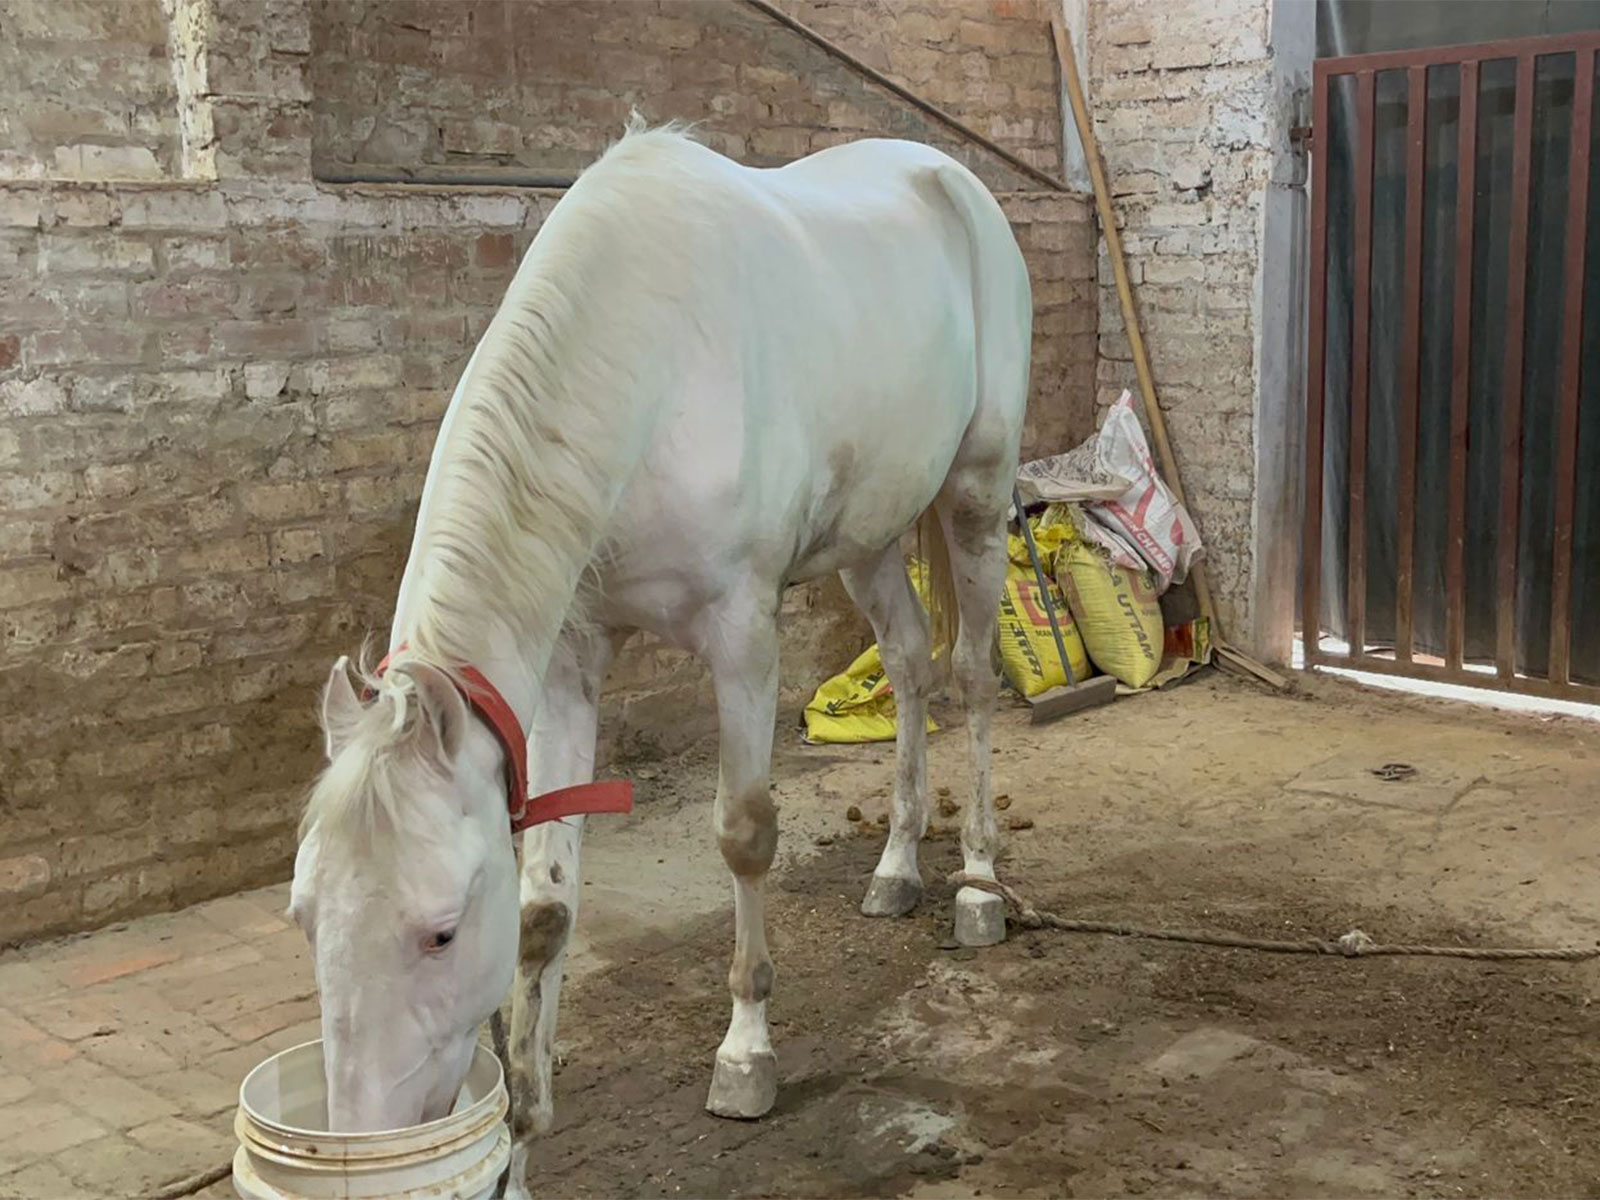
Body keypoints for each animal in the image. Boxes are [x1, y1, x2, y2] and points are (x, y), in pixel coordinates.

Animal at [289, 119, 1031, 1194]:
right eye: (306, 918)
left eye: (439, 932)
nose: (364, 1144)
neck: (648, 370)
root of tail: (951, 178)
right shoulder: (570, 662)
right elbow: (545, 908)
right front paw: (522, 1137)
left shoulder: (743, 633)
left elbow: (745, 835)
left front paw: (746, 1054)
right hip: (870, 536)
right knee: (906, 663)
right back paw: (896, 868)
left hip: (975, 493)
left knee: (970, 678)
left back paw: (975, 887)